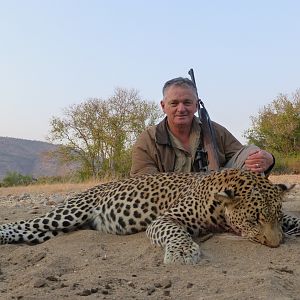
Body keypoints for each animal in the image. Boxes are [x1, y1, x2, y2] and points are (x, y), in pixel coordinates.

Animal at [0, 169, 298, 264]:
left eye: (276, 217)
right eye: (254, 219)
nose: (275, 245)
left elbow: (294, 220)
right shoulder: (166, 219)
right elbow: (175, 233)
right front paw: (182, 253)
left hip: (59, 228)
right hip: (68, 213)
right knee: (23, 224)